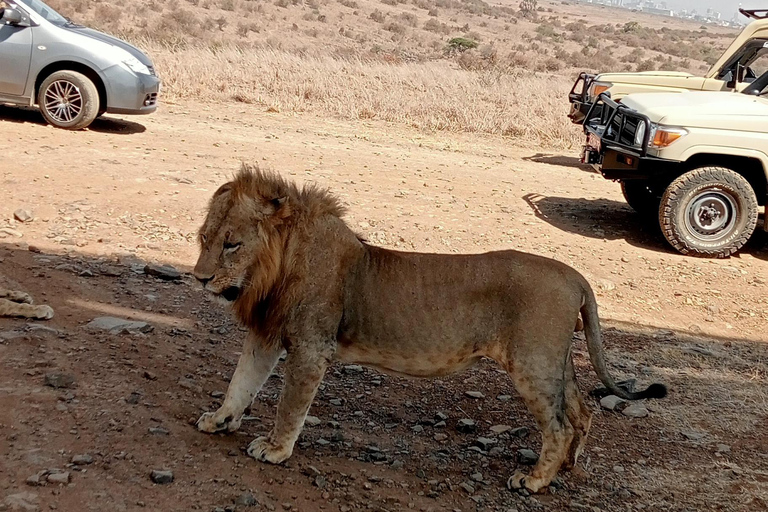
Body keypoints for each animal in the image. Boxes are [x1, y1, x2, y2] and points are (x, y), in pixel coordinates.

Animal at [194, 166, 664, 494]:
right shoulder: (266, 333)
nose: (199, 279)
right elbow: (241, 381)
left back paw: (533, 480)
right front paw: (220, 419)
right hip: (555, 360)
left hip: (533, 363)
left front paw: (275, 449)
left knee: (560, 425)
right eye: (203, 239)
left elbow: (290, 405)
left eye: (232, 244)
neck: (272, 272)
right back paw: (566, 466)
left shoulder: (312, 346)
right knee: (581, 411)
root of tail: (575, 276)